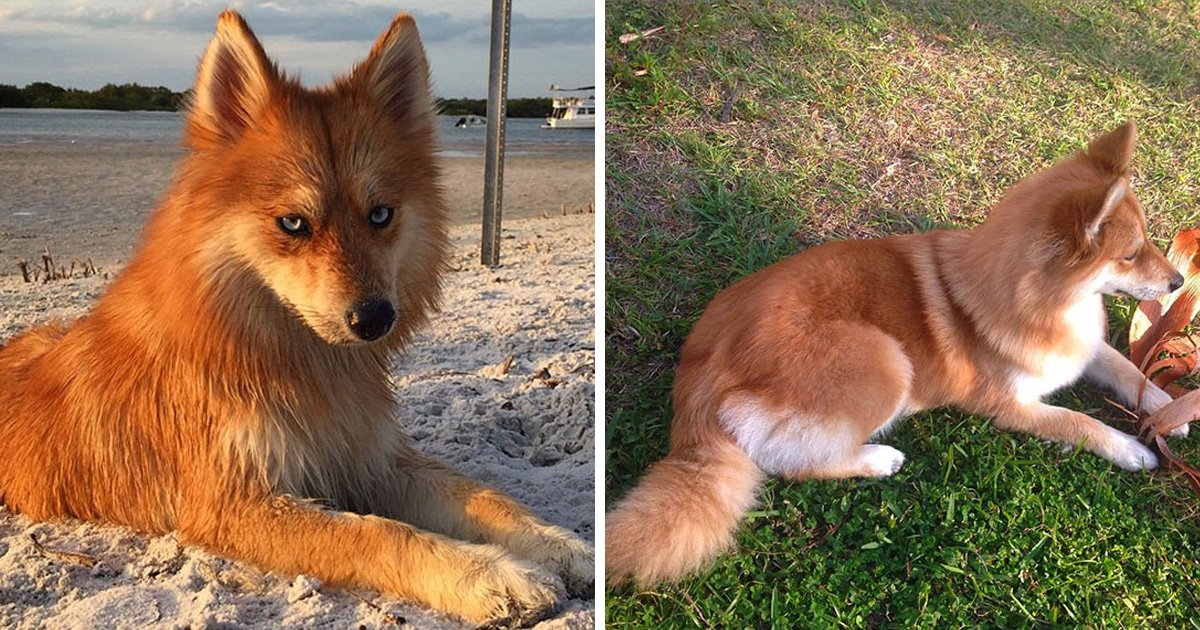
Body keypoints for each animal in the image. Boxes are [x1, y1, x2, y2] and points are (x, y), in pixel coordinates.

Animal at [0, 11, 592, 626]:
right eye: (293, 223)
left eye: (380, 215)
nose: (374, 318)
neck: (297, 362)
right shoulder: (235, 505)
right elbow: (378, 535)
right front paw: (490, 573)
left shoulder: (370, 460)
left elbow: (481, 495)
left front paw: (559, 543)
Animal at [605, 122, 1188, 586]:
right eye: (1130, 254)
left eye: (1147, 242)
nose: (1180, 282)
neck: (1043, 299)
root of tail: (700, 372)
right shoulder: (1008, 406)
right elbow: (1076, 421)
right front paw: (1130, 448)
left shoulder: (1084, 351)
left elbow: (1125, 367)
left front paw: (1168, 408)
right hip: (884, 360)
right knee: (794, 463)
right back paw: (877, 458)